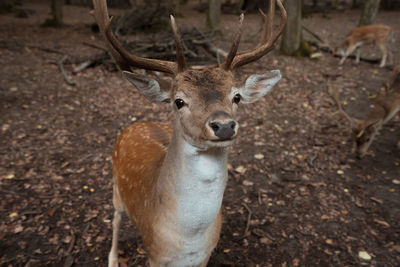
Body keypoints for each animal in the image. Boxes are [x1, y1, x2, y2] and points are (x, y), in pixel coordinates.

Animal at [93, 1, 288, 266]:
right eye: (179, 101)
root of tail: (138, 123)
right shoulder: (155, 255)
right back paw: (113, 258)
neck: (188, 240)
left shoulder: (205, 255)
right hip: (115, 188)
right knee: (115, 218)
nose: (224, 125)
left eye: (236, 96)